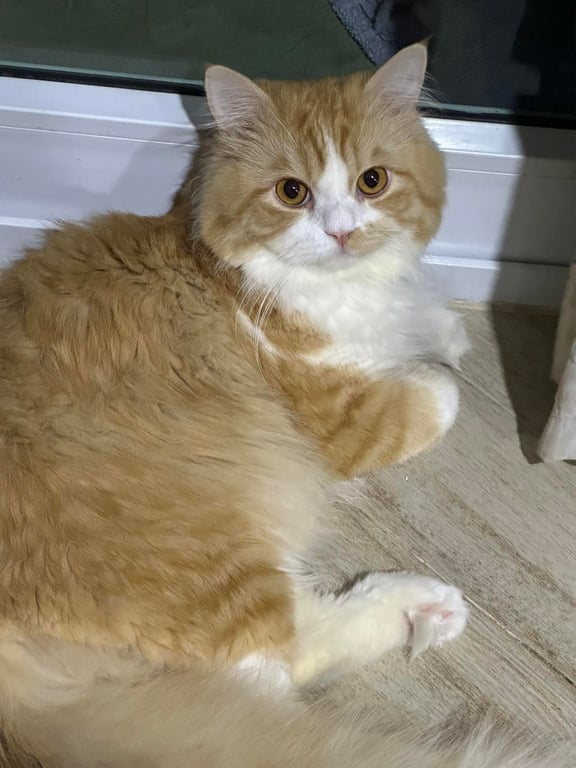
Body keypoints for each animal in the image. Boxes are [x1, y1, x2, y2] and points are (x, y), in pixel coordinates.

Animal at [0, 42, 566, 767]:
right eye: (292, 193)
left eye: (372, 182)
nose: (342, 232)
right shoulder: (343, 418)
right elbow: (438, 391)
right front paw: (434, 361)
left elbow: (417, 321)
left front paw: (436, 329)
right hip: (217, 558)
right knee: (277, 666)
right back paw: (420, 605)